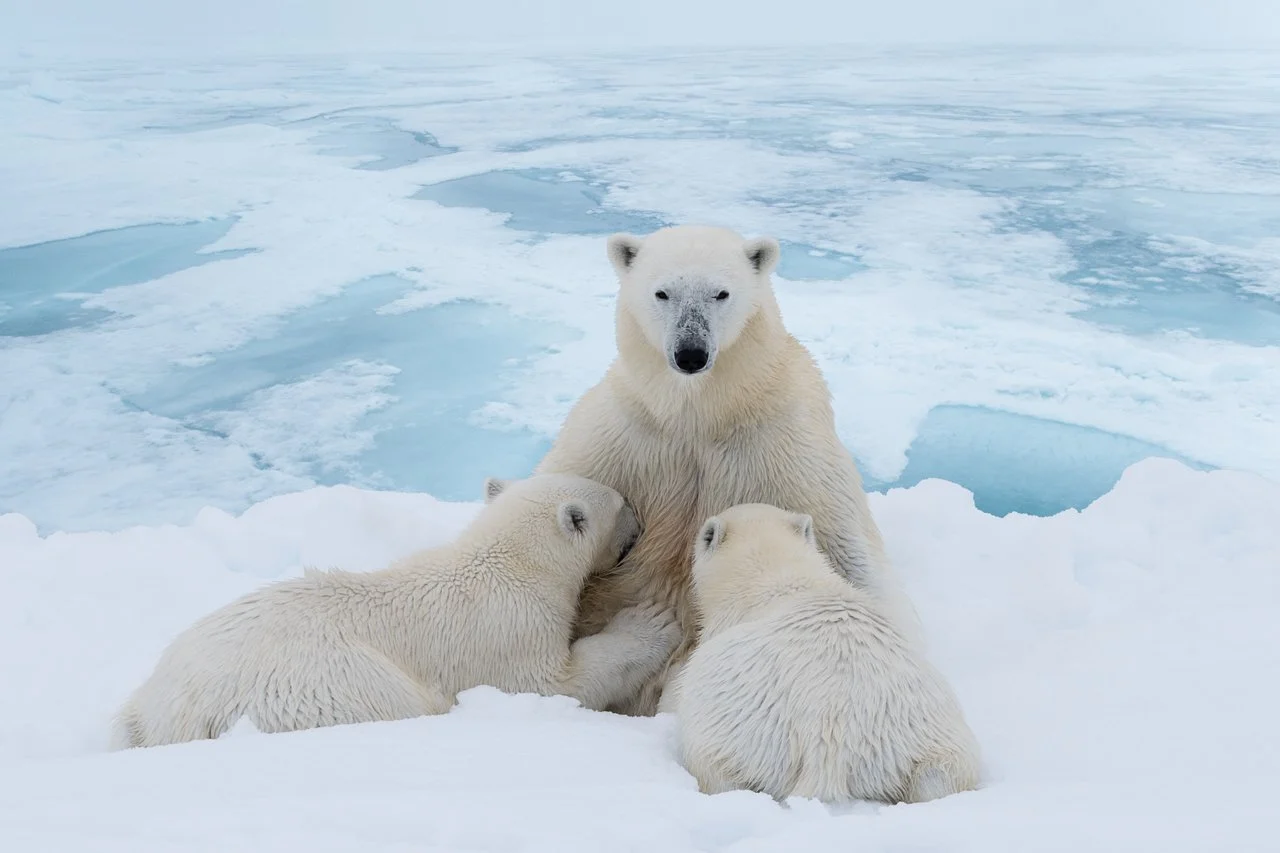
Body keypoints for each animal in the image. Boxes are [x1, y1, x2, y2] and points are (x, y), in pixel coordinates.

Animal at [112, 473, 681, 749]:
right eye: (622, 503)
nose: (640, 521)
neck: (508, 560)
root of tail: (161, 714)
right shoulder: (507, 627)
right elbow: (555, 683)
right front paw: (652, 623)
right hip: (313, 684)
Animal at [534, 224, 919, 716]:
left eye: (721, 293)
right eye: (662, 292)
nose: (691, 354)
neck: (700, 414)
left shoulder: (784, 441)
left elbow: (847, 550)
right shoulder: (622, 434)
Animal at [665, 503, 981, 804]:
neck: (779, 574)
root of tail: (830, 743)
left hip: (740, 727)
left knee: (716, 766)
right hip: (923, 737)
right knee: (941, 773)